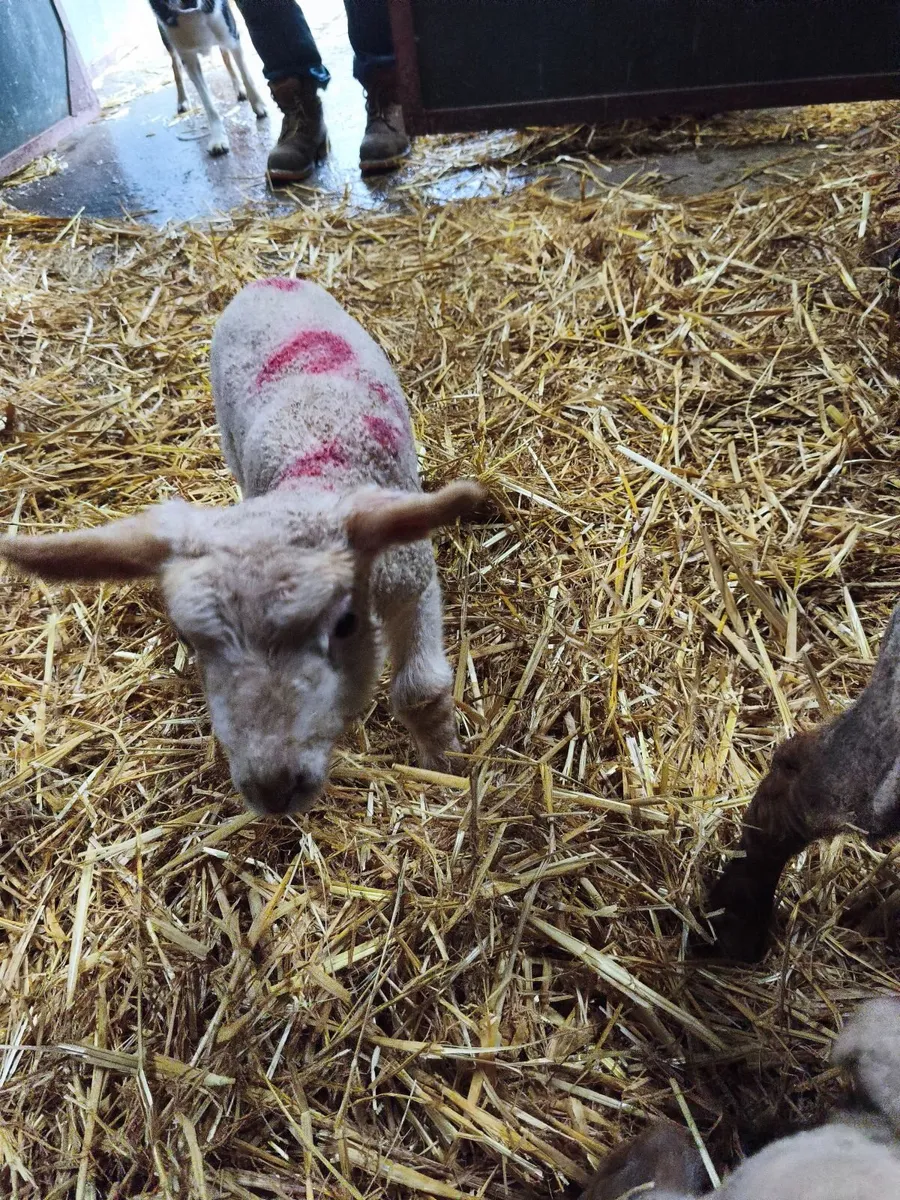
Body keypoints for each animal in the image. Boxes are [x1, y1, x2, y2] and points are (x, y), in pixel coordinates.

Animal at [0, 278, 484, 817]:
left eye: (344, 624)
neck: (311, 479)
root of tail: (267, 281)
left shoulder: (410, 579)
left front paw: (444, 764)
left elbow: (421, 691)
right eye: (189, 641)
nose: (272, 788)